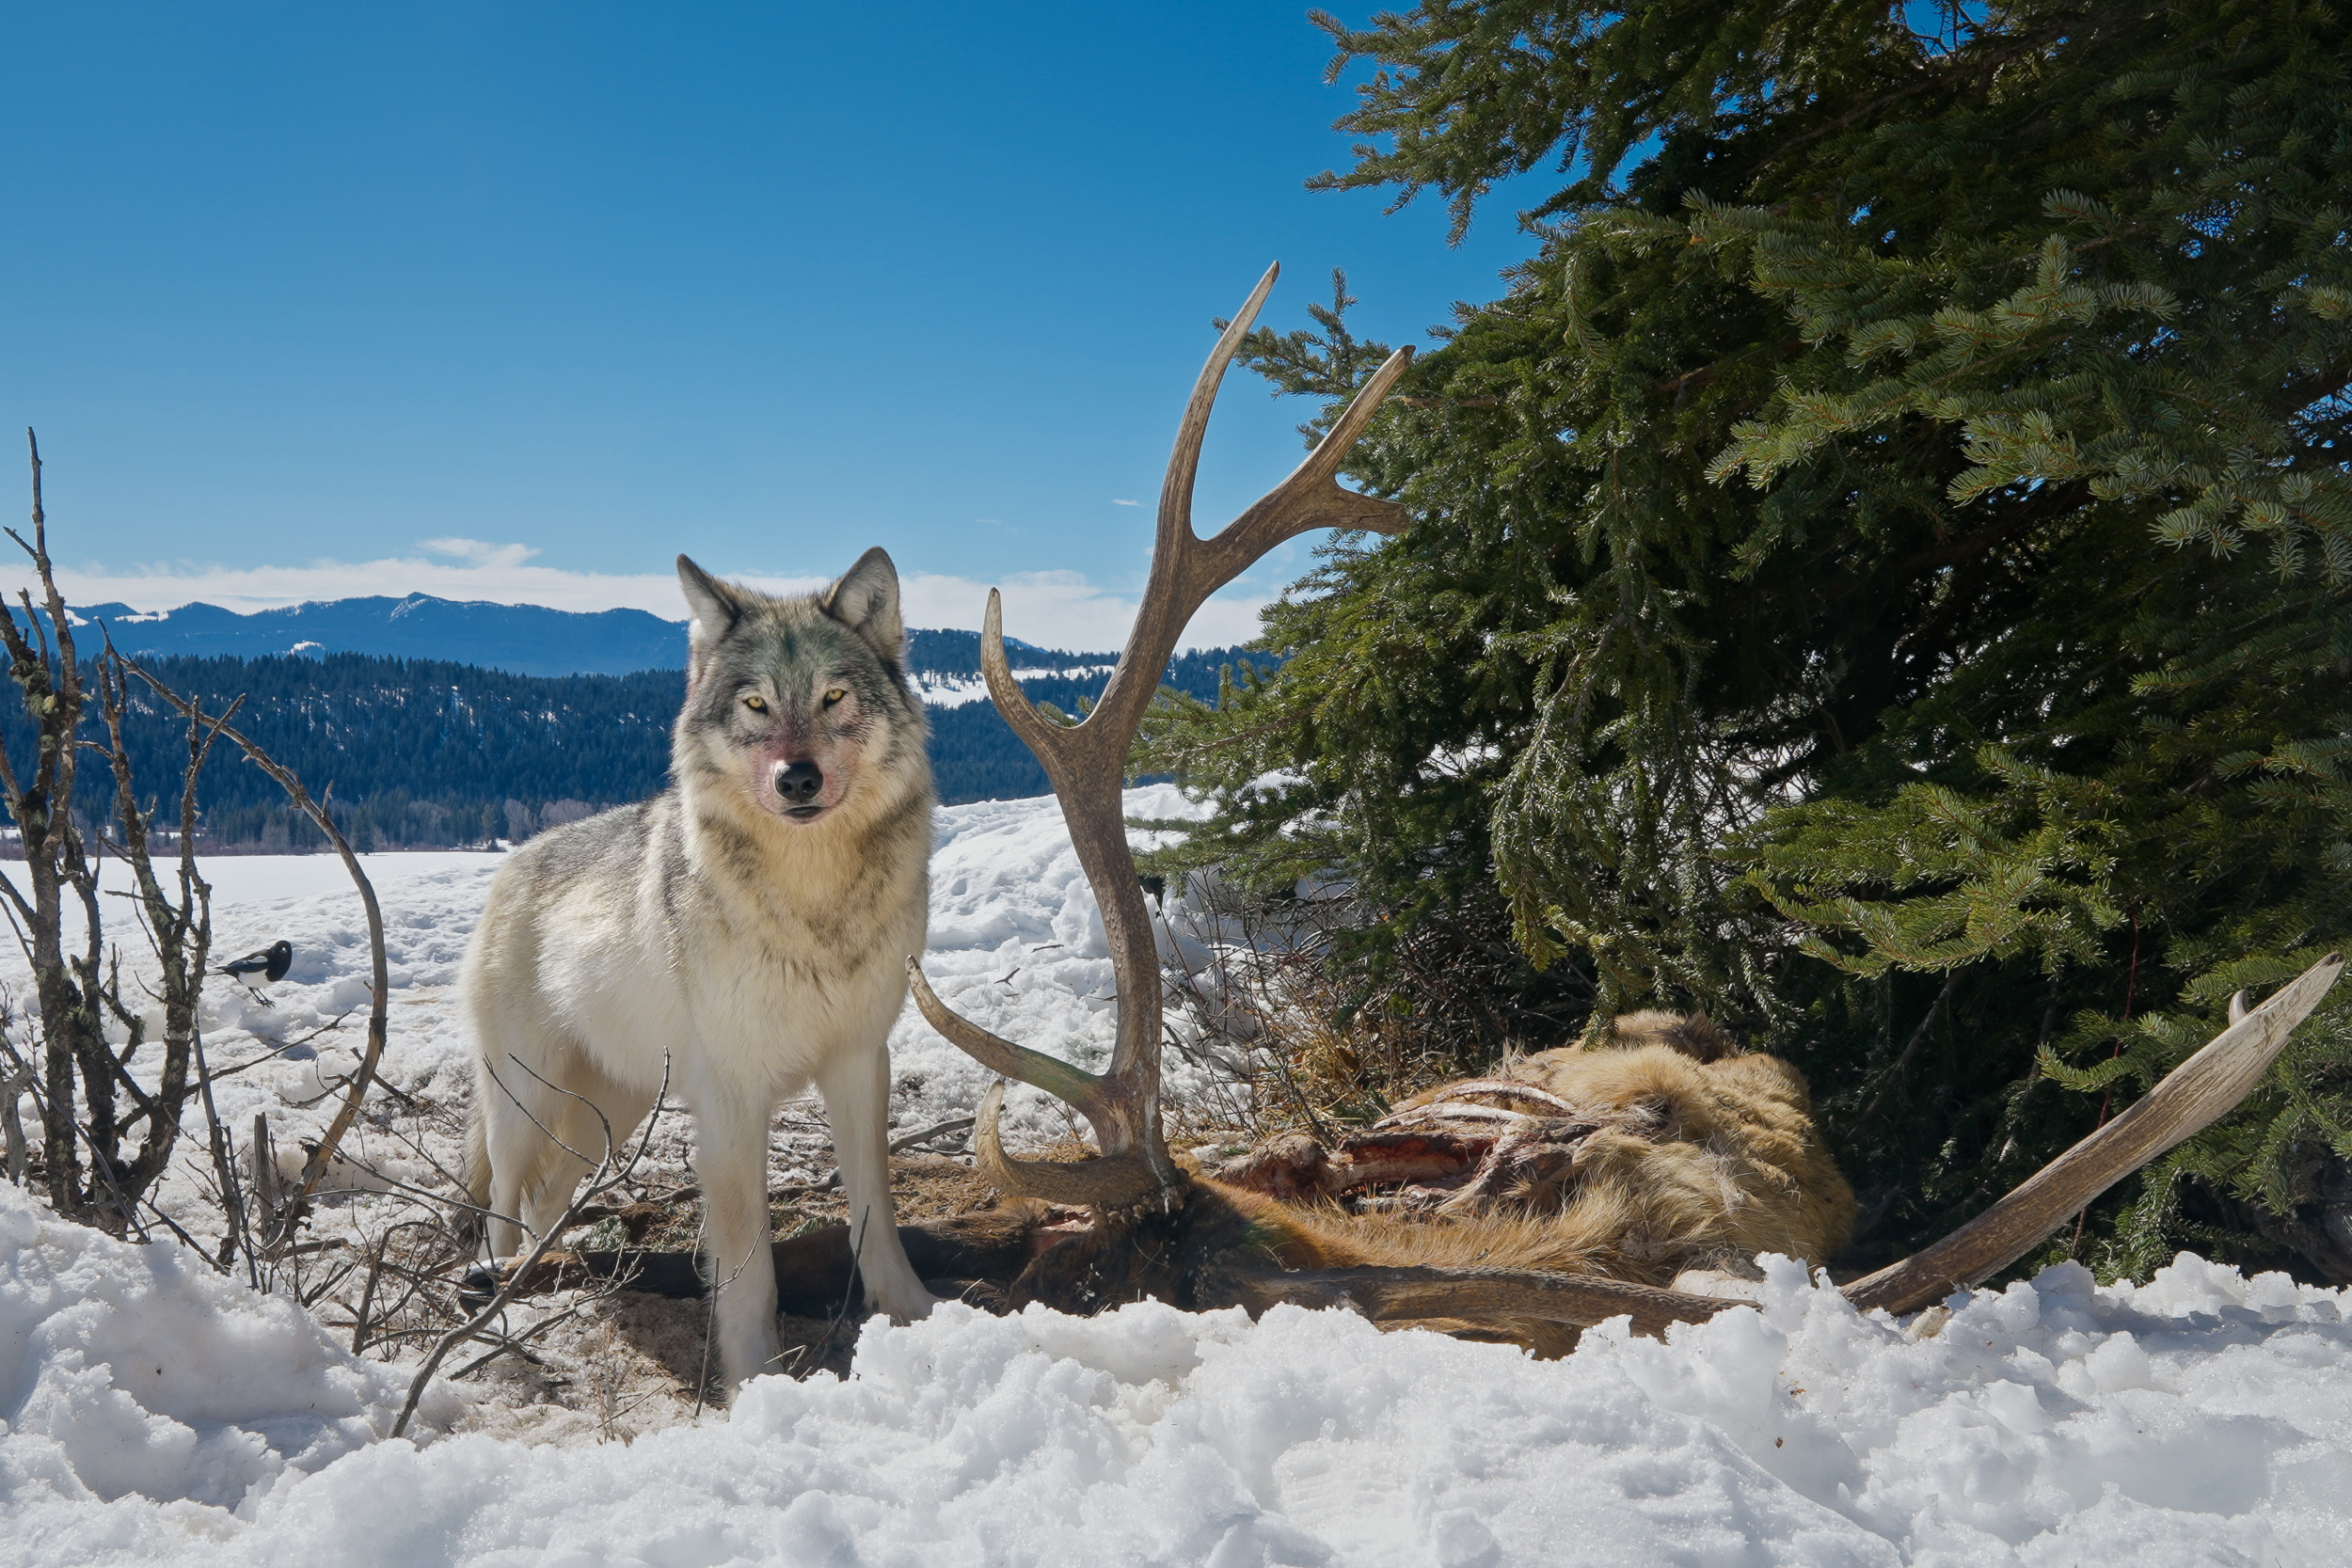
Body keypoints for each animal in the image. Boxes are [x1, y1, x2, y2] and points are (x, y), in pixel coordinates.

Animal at [461, 547, 937, 1389]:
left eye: (833, 696)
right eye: (755, 704)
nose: (796, 778)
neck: (811, 897)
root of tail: (512, 863)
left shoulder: (858, 1061)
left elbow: (875, 1213)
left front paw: (913, 1317)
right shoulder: (731, 1101)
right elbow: (749, 1267)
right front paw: (755, 1378)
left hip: (610, 1109)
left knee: (547, 1197)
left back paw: (560, 1280)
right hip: (523, 1104)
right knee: (501, 1210)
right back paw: (508, 1302)